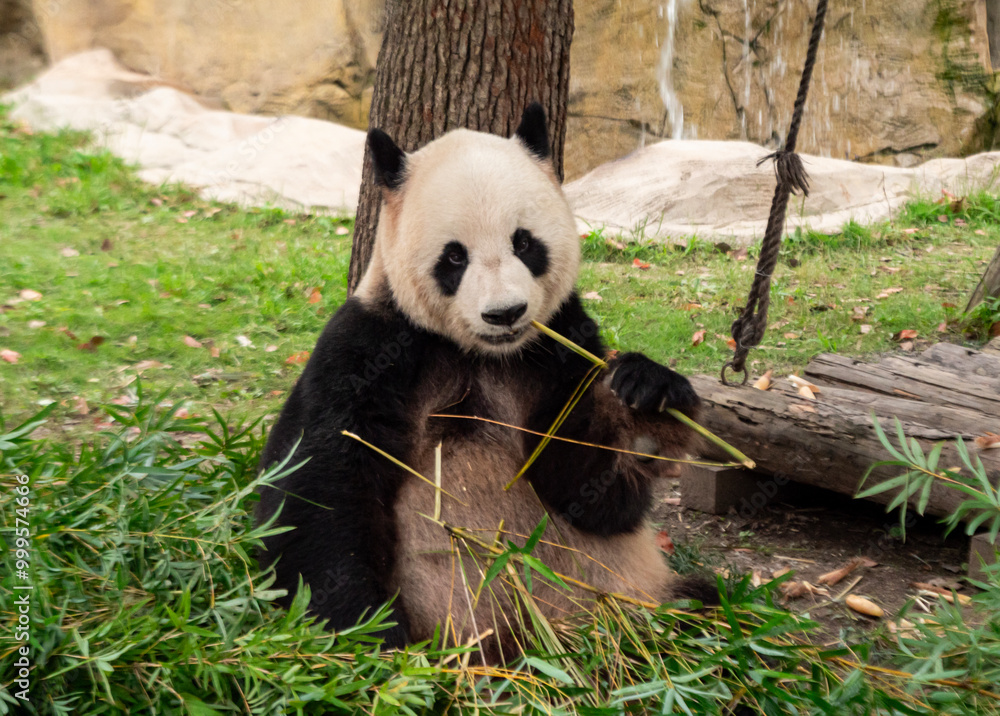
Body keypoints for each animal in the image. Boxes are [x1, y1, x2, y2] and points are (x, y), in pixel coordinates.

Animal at [255, 103, 703, 662]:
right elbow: (316, 490)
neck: (484, 355)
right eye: (454, 256)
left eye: (524, 243)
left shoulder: (560, 346)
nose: (504, 313)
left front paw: (646, 407)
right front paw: (371, 636)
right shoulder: (369, 348)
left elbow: (590, 494)